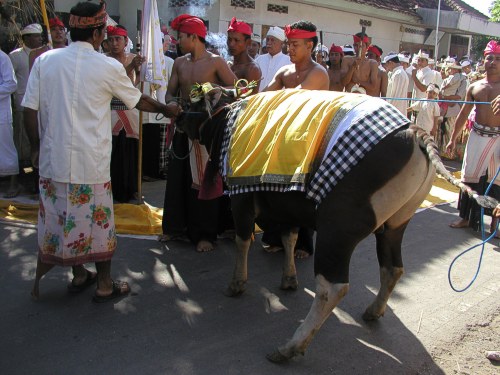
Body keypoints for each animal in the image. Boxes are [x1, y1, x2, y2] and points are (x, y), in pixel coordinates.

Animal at [174, 86, 494, 362]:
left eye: (191, 104)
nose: (176, 116)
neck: (231, 119)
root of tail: (415, 132)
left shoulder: (242, 199)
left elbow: (243, 240)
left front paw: (237, 283)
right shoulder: (288, 206)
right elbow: (290, 238)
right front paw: (289, 278)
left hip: (337, 230)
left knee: (333, 288)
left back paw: (290, 347)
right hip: (395, 225)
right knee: (393, 268)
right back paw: (373, 310)